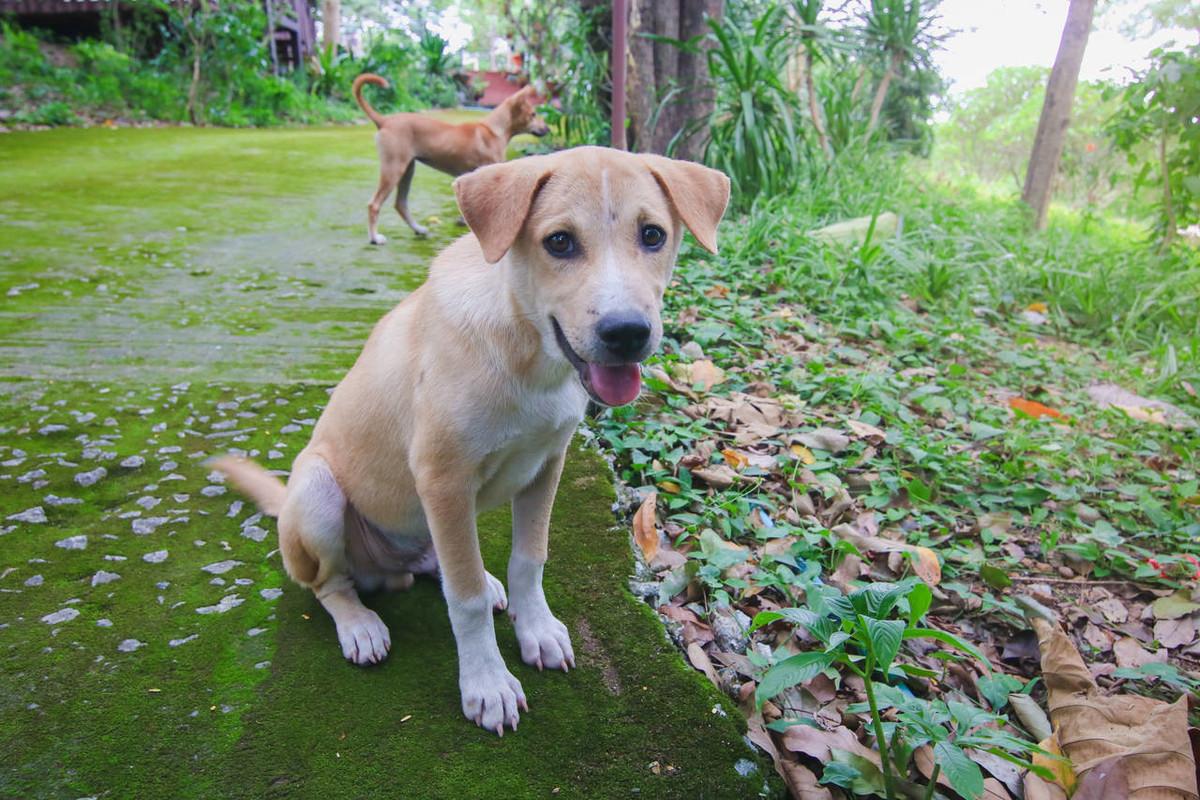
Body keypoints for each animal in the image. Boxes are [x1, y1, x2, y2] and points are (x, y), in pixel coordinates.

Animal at [213, 146, 729, 734]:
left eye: (652, 235)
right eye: (559, 242)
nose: (627, 334)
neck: (528, 353)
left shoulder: (548, 463)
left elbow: (529, 559)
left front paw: (537, 629)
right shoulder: (444, 480)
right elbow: (464, 601)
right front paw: (487, 683)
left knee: (440, 561)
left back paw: (473, 575)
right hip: (319, 494)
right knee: (330, 584)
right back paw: (359, 623)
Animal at [350, 74, 549, 244]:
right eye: (533, 114)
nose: (548, 129)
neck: (491, 130)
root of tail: (384, 121)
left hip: (407, 169)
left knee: (400, 204)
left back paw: (418, 229)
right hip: (393, 168)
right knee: (374, 204)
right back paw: (375, 238)